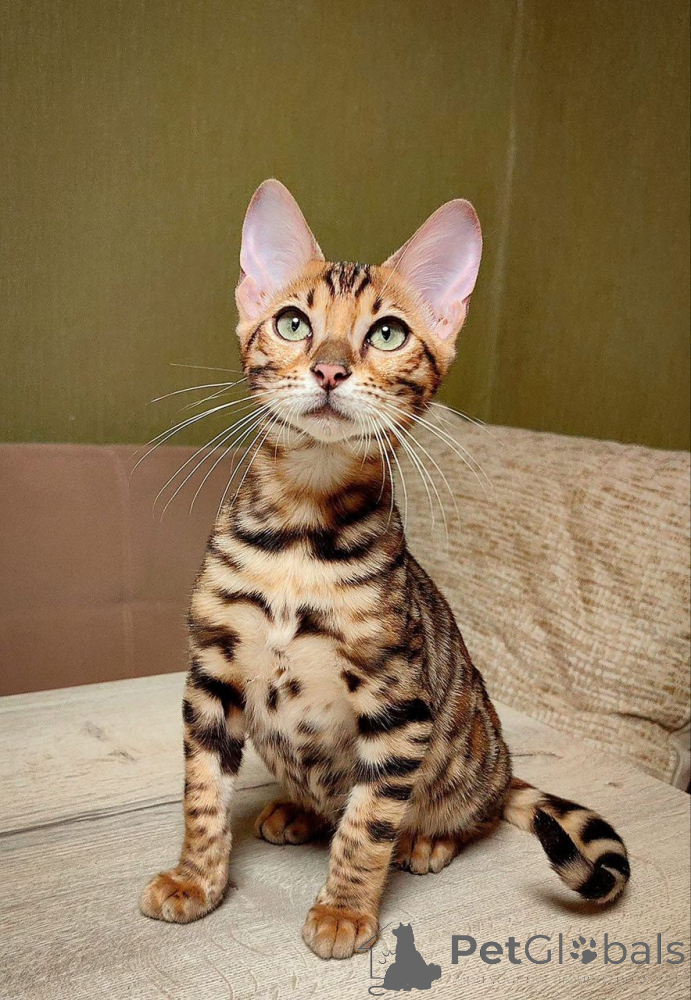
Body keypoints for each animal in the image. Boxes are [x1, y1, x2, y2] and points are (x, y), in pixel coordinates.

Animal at [140, 180, 630, 960]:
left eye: (389, 334)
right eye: (292, 322)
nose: (330, 368)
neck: (298, 538)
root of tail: (505, 767)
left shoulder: (399, 705)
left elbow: (368, 824)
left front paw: (345, 909)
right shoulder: (211, 673)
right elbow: (202, 795)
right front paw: (196, 879)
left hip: (465, 757)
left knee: (471, 814)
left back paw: (428, 842)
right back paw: (296, 812)